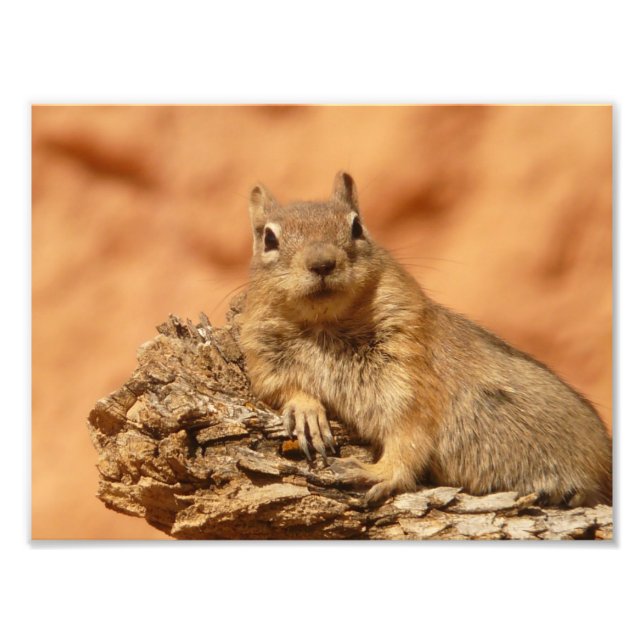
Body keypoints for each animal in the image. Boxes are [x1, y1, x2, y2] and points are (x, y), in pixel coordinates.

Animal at [238, 171, 612, 507]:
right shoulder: (263, 356)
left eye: (357, 227)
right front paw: (306, 410)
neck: (325, 326)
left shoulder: (411, 377)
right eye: (268, 239)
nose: (322, 263)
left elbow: (409, 437)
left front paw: (376, 472)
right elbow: (280, 387)